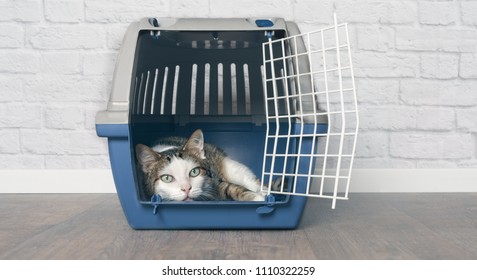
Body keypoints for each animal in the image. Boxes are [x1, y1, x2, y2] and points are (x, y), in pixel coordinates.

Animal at [136, 129, 266, 201]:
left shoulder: (213, 182)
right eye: (167, 178)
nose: (186, 188)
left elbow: (232, 188)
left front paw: (259, 198)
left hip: (231, 168)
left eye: (194, 172)